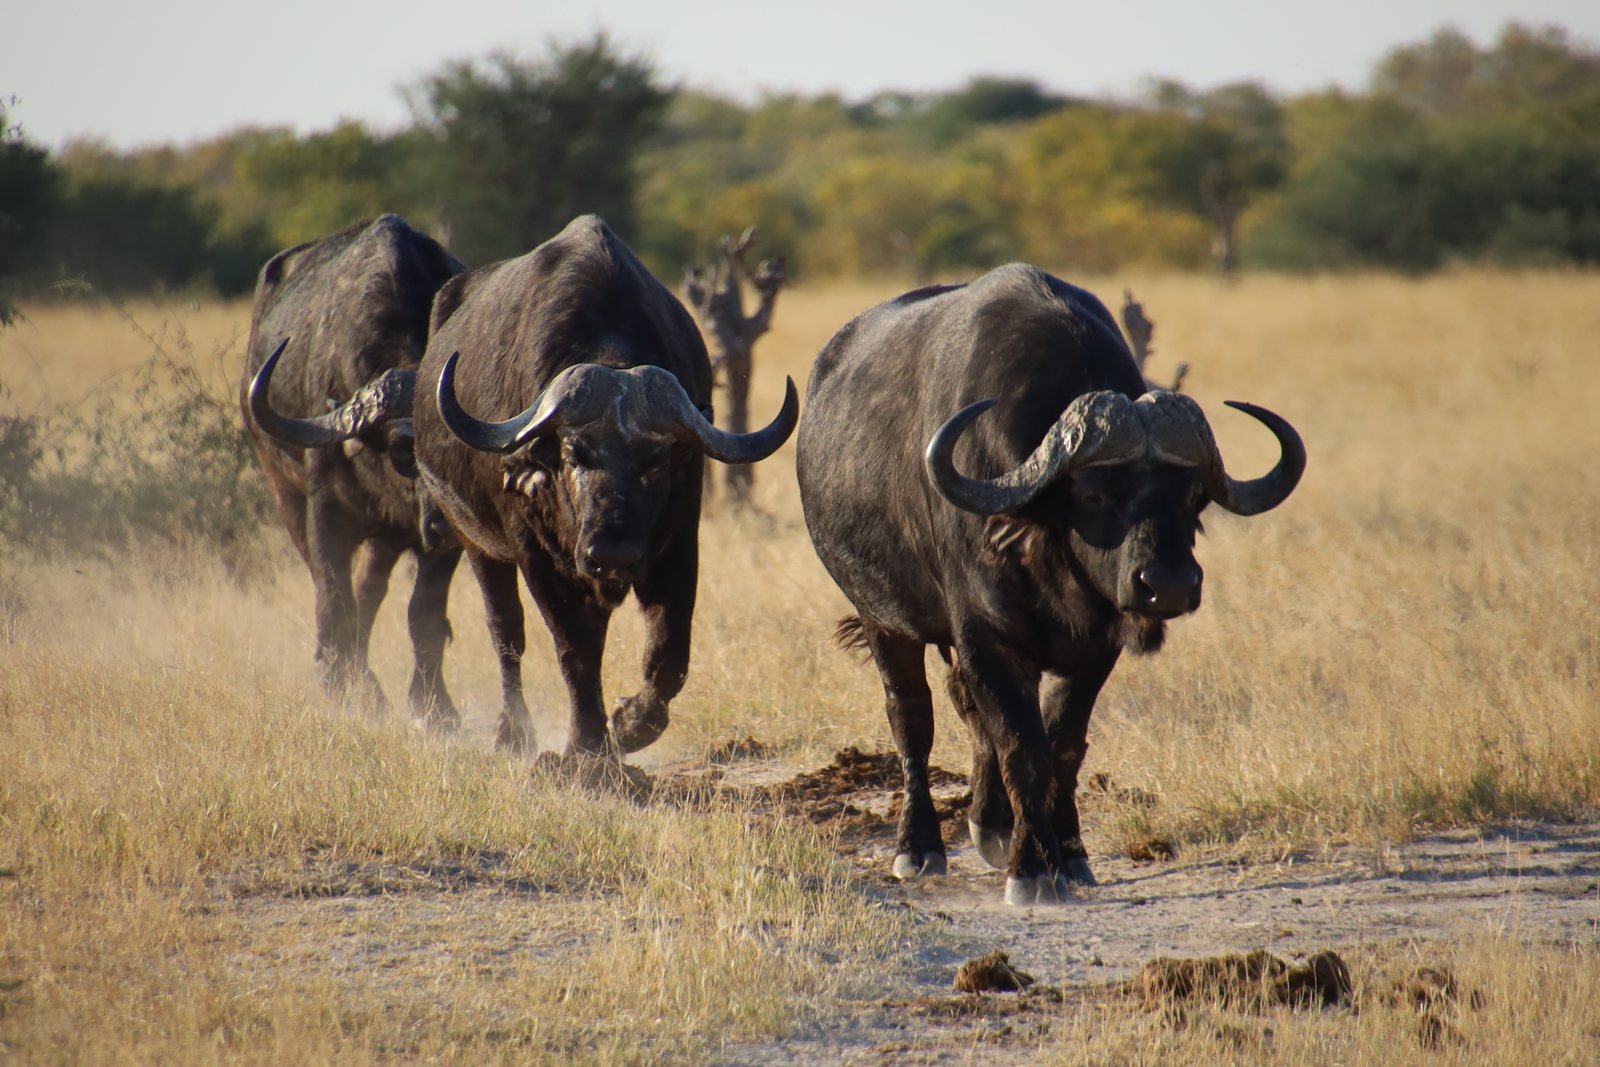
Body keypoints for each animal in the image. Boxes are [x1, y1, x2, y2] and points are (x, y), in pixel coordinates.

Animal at [243, 215, 466, 726]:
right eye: (404, 448)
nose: (444, 523)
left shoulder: (444, 543)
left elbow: (423, 613)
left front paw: (434, 705)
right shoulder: (327, 510)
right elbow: (334, 599)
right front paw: (341, 684)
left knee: (372, 591)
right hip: (283, 489)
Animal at [412, 216, 798, 755]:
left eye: (656, 460)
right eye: (575, 454)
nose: (611, 552)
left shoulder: (679, 542)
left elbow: (670, 650)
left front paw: (632, 723)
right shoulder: (535, 552)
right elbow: (572, 644)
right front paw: (586, 742)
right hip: (474, 543)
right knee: (506, 631)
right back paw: (512, 731)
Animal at [796, 265, 1304, 904]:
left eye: (1192, 496)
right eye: (1093, 493)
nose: (1167, 586)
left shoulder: (1095, 647)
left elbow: (1062, 746)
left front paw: (1069, 855)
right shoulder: (986, 635)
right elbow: (1023, 747)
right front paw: (1031, 870)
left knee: (967, 711)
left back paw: (989, 825)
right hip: (882, 618)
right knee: (912, 718)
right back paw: (919, 847)